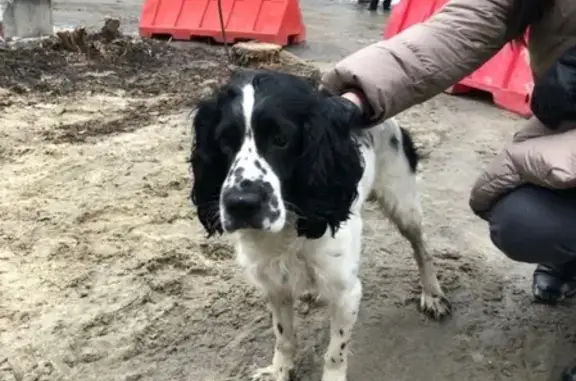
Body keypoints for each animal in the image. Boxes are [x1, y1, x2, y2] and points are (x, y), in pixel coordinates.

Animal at [191, 70, 452, 380]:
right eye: (224, 142)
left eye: (281, 139)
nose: (241, 204)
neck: (289, 228)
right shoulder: (274, 285)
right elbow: (284, 337)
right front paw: (279, 371)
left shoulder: (347, 293)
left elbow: (335, 352)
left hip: (403, 205)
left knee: (421, 247)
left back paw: (432, 293)